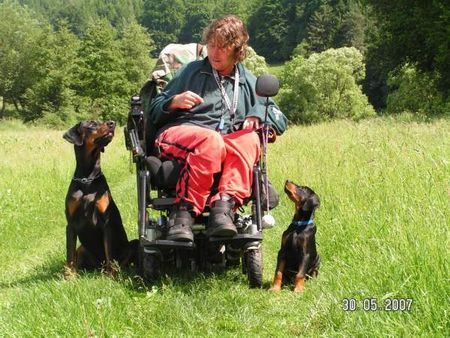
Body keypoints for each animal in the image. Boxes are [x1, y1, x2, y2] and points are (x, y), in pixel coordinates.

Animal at [63, 121, 136, 278]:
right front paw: (69, 277)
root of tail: (98, 267)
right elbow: (69, 254)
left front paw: (110, 276)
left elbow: (109, 252)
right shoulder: (70, 224)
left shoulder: (106, 222)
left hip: (133, 244)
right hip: (82, 249)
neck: (87, 180)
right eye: (91, 125)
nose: (112, 123)